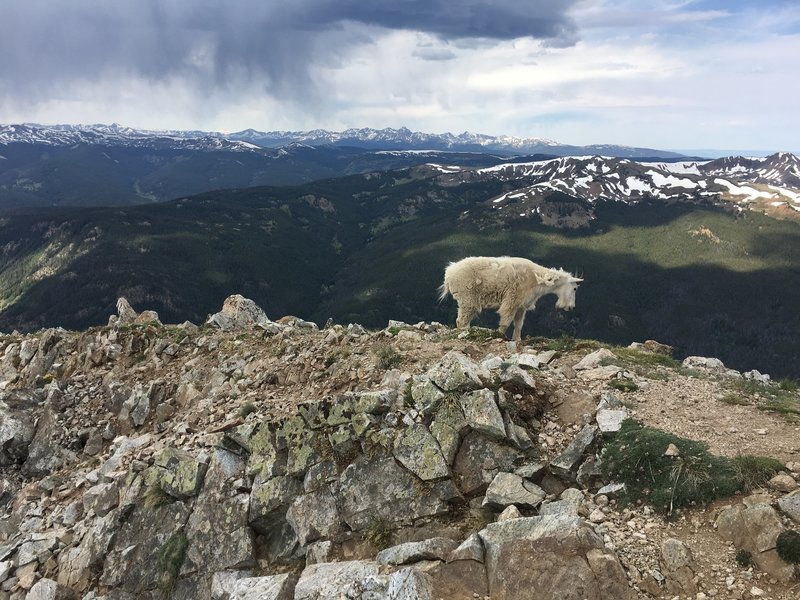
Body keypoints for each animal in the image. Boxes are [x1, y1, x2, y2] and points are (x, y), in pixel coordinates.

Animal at [438, 255, 580, 342]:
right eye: (575, 288)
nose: (571, 307)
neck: (536, 279)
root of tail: (449, 274)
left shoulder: (521, 305)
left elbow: (519, 324)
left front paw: (517, 339)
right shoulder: (512, 300)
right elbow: (505, 321)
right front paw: (499, 336)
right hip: (467, 298)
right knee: (462, 320)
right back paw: (465, 334)